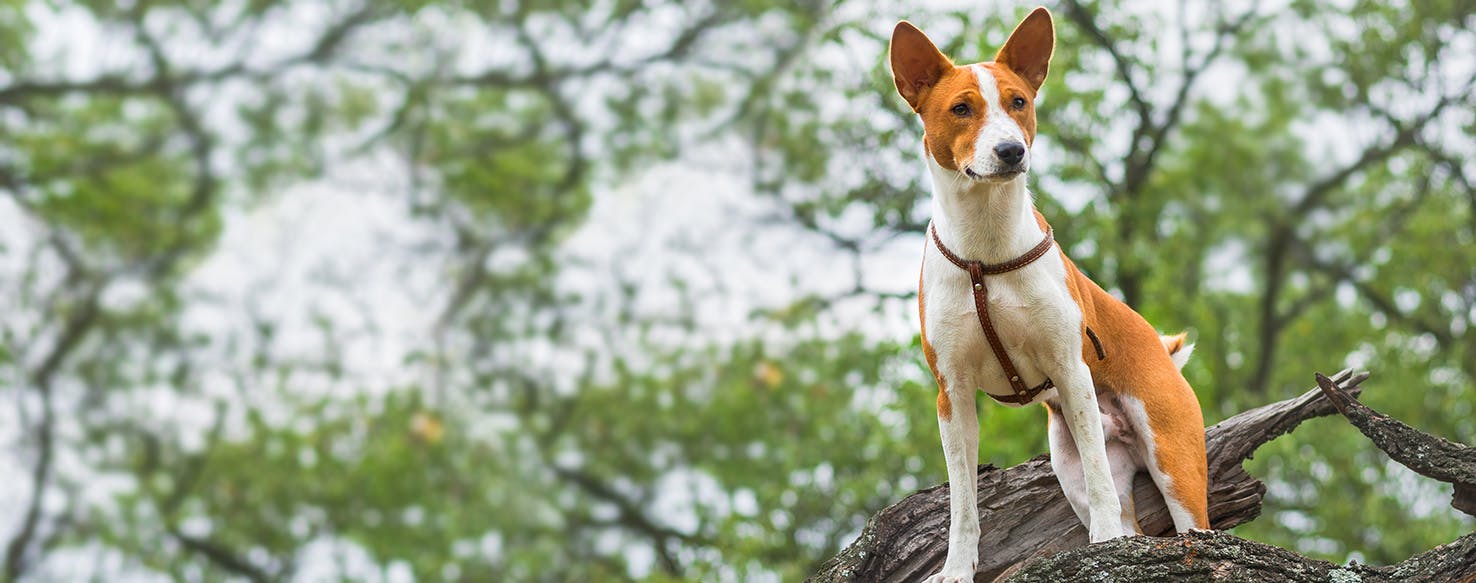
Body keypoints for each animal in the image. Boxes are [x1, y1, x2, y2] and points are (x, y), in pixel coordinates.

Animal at [885, 6, 1210, 581]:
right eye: (961, 109)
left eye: (1019, 101)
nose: (1011, 150)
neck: (986, 248)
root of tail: (1160, 348)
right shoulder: (953, 395)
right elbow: (963, 503)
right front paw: (957, 567)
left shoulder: (1069, 368)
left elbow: (1102, 486)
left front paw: (1102, 545)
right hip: (1068, 463)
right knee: (1125, 513)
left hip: (1173, 458)